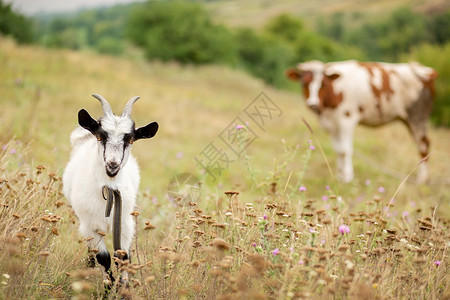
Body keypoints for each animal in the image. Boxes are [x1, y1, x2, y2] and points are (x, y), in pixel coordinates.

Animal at [63, 94, 158, 284]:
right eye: (100, 137)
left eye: (130, 140)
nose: (112, 164)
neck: (109, 189)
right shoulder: (90, 226)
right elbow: (104, 258)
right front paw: (108, 286)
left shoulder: (125, 224)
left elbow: (122, 257)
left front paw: (123, 287)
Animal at [286, 59, 438, 183]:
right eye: (304, 83)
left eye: (322, 84)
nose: (313, 104)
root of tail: (426, 71)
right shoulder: (332, 123)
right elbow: (338, 150)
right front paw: (339, 176)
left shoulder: (346, 120)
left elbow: (345, 150)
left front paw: (347, 178)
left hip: (418, 118)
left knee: (423, 145)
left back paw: (422, 180)